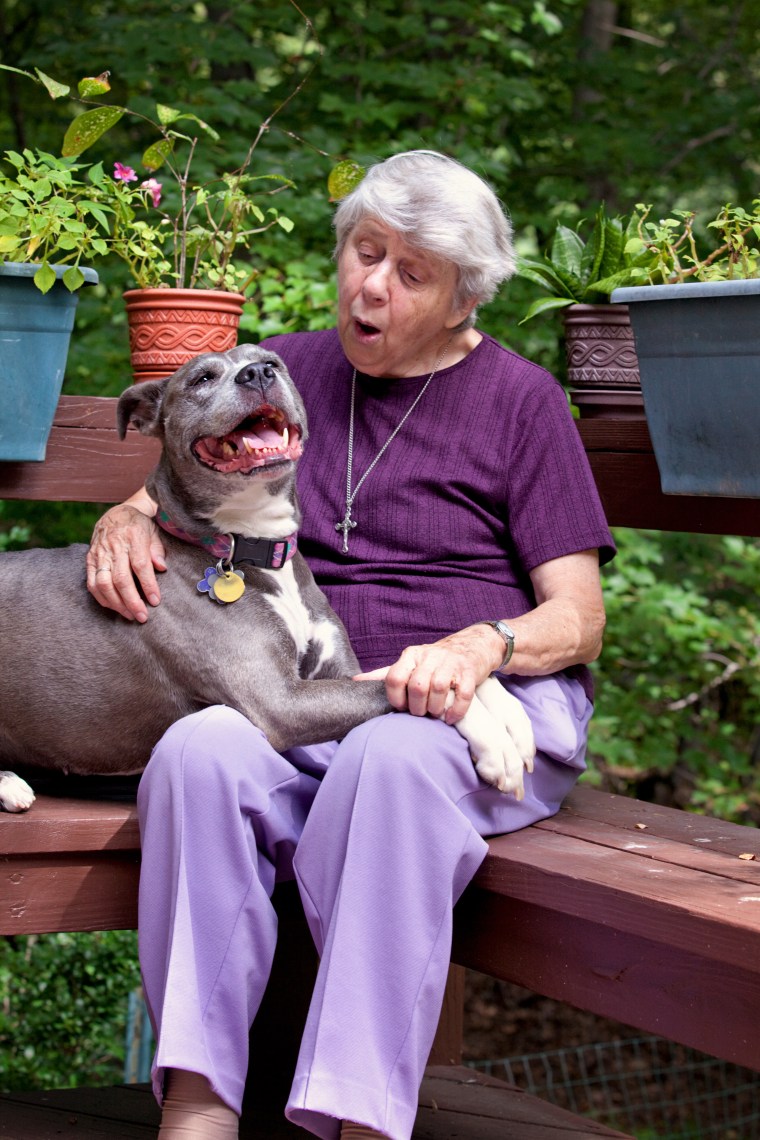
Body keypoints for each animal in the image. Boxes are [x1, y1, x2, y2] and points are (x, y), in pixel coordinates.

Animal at [0, 339, 535, 811]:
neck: (256, 550)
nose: (257, 375)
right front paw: (496, 745)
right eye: (201, 378)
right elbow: (393, 689)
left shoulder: (336, 672)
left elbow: (415, 666)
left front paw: (508, 714)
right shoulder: (282, 701)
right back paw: (9, 786)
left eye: (271, 361)